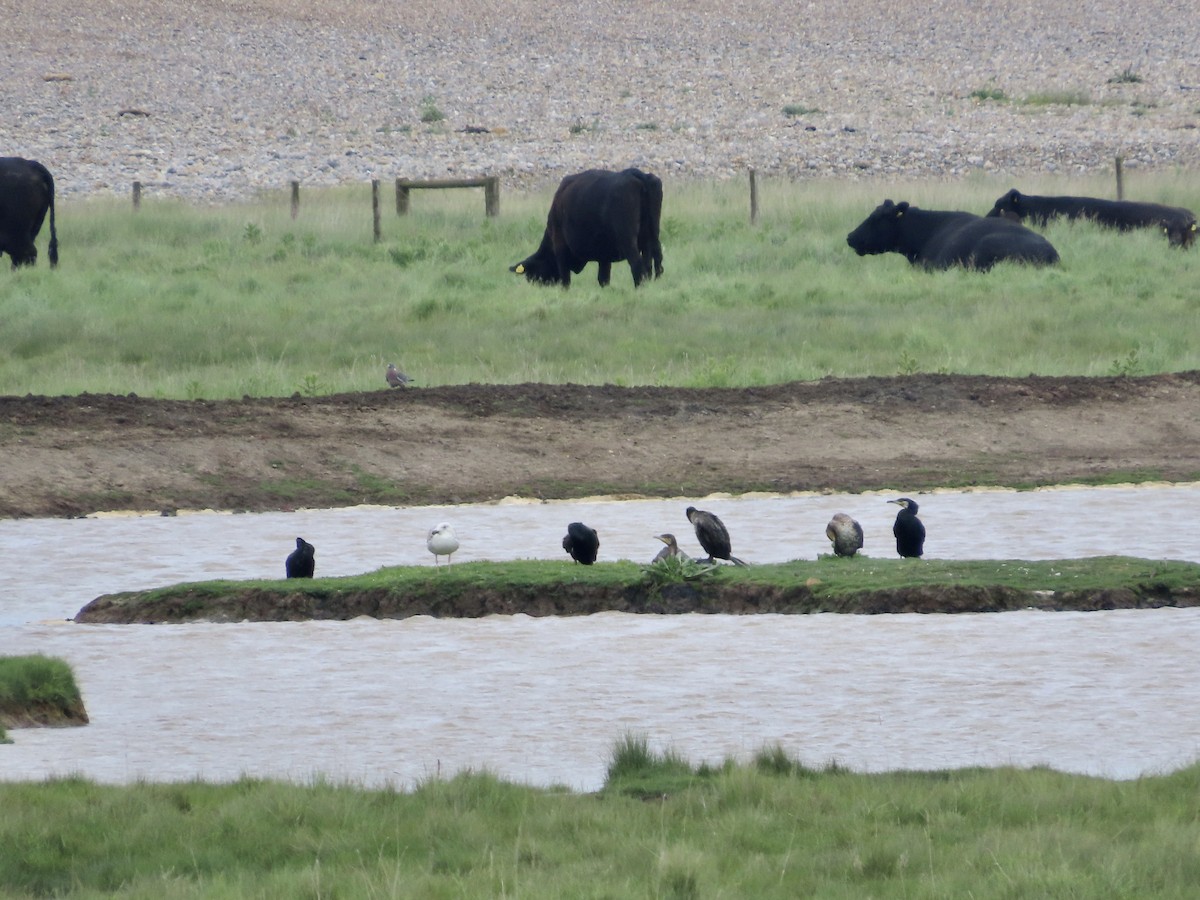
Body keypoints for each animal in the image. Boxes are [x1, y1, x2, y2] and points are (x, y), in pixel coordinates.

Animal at [508, 165, 667, 285]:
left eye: (533, 276)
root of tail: (634, 173)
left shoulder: (560, 247)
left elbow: (566, 280)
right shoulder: (604, 256)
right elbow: (603, 279)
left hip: (628, 239)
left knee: (637, 265)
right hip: (651, 236)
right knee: (653, 263)